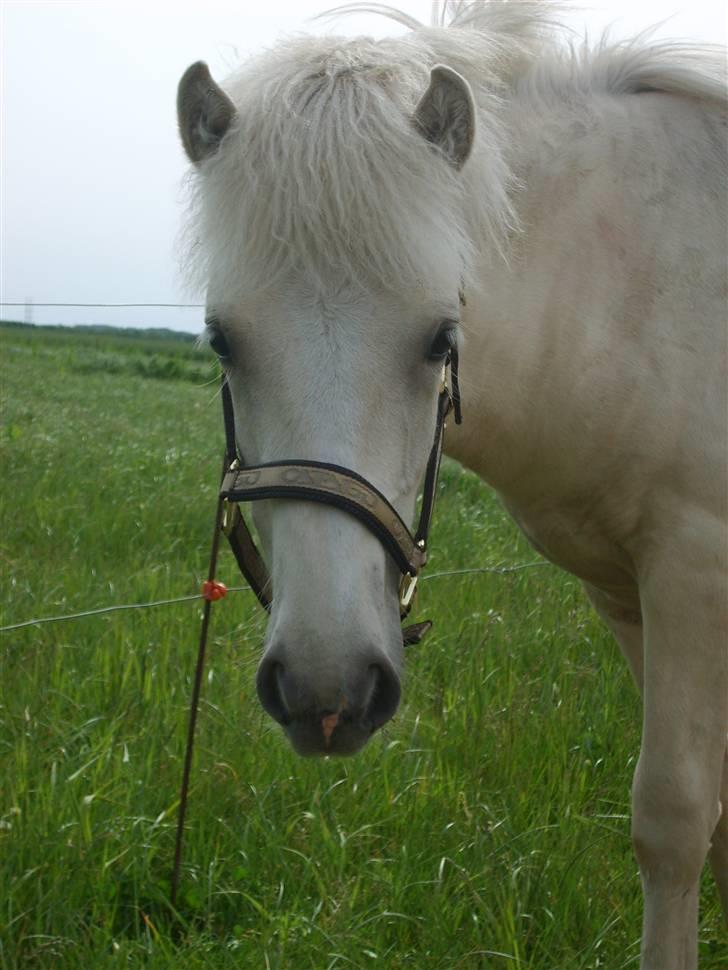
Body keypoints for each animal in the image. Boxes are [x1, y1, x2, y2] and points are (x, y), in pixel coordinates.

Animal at [178, 3, 728, 964]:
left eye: (442, 338)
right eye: (220, 340)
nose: (326, 688)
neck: (636, 293)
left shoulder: (695, 573)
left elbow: (673, 817)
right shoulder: (628, 597)